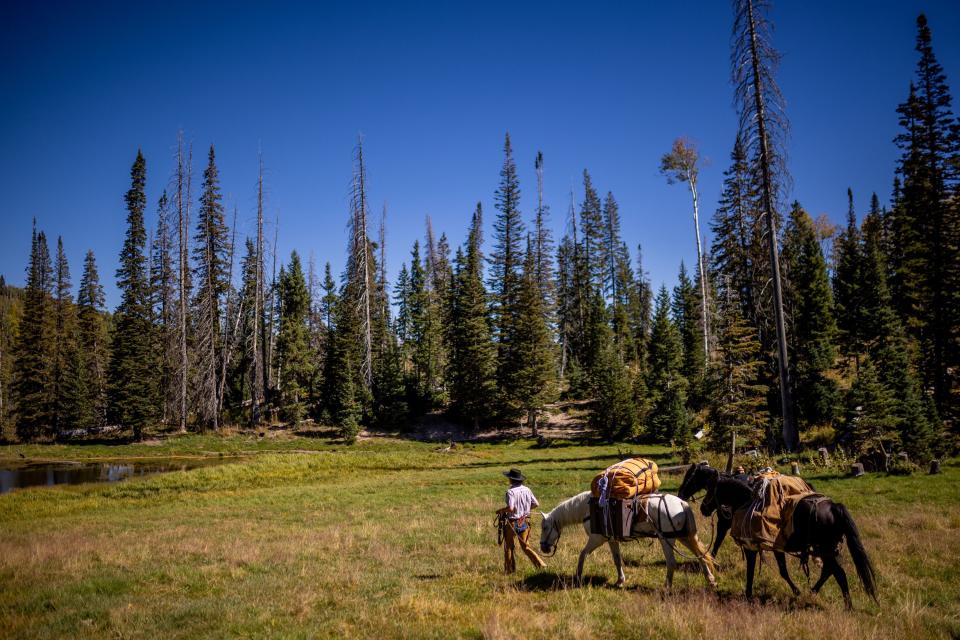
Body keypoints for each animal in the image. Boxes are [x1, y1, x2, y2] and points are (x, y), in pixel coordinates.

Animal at [536, 492, 716, 592]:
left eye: (544, 527)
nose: (543, 548)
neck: (589, 509)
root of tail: (681, 502)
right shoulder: (611, 540)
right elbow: (617, 559)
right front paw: (620, 581)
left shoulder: (596, 539)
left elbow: (582, 554)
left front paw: (578, 576)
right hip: (684, 537)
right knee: (701, 556)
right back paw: (711, 580)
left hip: (667, 539)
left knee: (671, 562)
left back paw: (667, 587)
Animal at [680, 462, 872, 608]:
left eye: (690, 478)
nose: (703, 509)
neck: (746, 499)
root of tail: (834, 507)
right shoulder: (776, 547)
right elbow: (782, 570)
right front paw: (796, 591)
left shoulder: (748, 544)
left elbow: (750, 568)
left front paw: (748, 594)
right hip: (827, 550)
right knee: (829, 571)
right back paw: (813, 592)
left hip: (825, 549)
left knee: (838, 573)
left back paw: (847, 606)